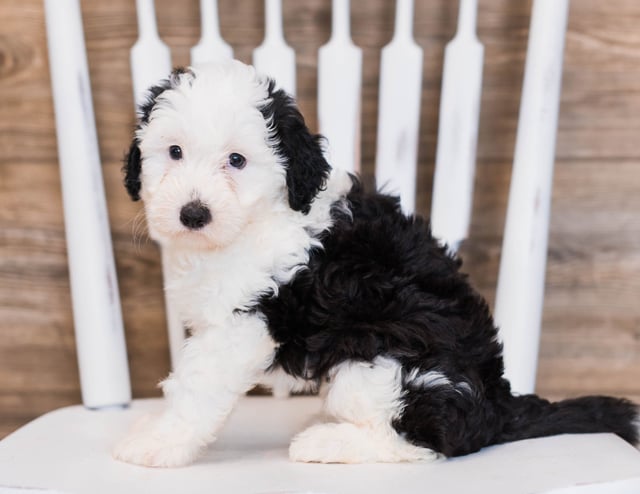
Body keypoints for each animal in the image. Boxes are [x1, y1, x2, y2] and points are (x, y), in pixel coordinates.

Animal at [114, 60, 636, 466]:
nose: (193, 214)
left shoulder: (243, 323)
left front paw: (156, 444)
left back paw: (326, 441)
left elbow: (195, 389)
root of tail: (500, 405)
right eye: (174, 152)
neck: (256, 221)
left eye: (237, 161)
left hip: (383, 360)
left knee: (424, 441)